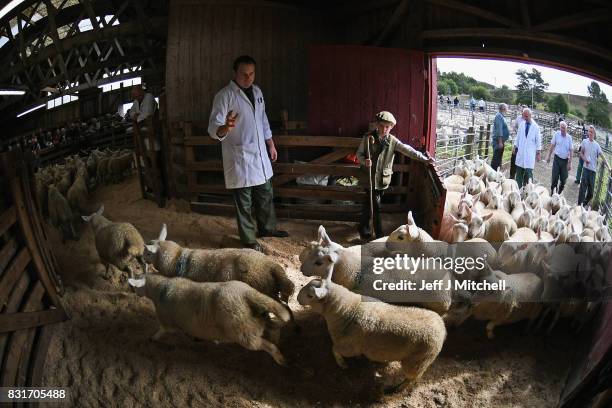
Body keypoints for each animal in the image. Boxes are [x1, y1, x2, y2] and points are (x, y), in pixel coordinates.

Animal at [128, 272, 290, 364]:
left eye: (136, 285)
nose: (132, 291)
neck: (159, 289)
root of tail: (246, 293)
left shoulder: (166, 320)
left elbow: (162, 330)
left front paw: (153, 338)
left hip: (243, 332)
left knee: (266, 345)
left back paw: (280, 358)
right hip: (255, 320)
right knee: (273, 328)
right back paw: (277, 340)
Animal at [298, 262, 444, 394]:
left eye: (310, 295)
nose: (298, 298)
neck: (348, 310)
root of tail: (441, 327)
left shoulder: (350, 347)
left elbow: (334, 350)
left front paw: (342, 364)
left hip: (418, 361)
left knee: (412, 378)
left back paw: (397, 389)